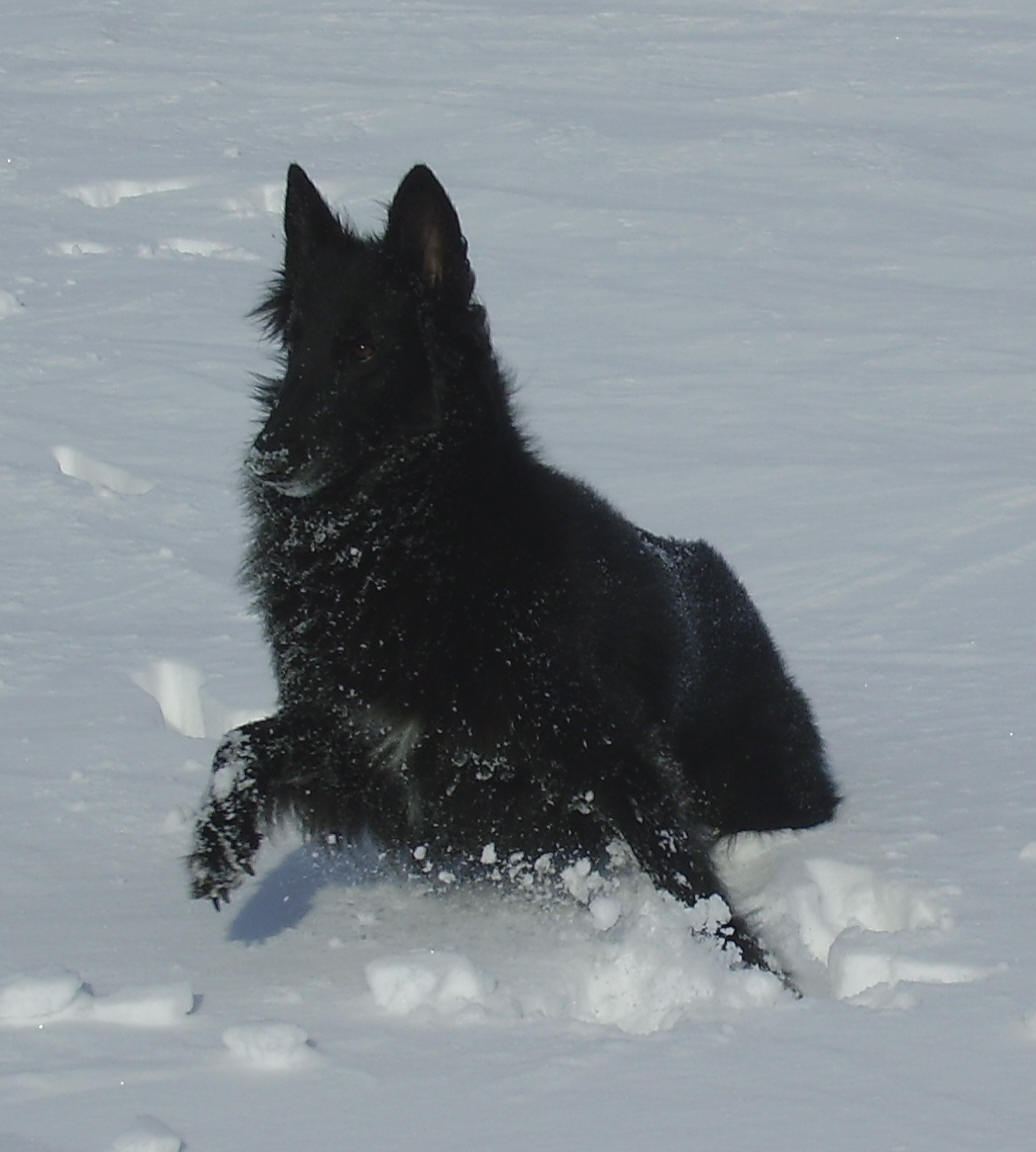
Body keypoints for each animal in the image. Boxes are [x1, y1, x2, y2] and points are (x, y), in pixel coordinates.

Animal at [190, 160, 838, 972]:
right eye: (295, 346)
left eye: (363, 350)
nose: (268, 454)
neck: (406, 543)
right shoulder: (373, 751)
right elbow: (242, 742)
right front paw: (217, 846)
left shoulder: (607, 752)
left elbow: (687, 877)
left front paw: (756, 974)